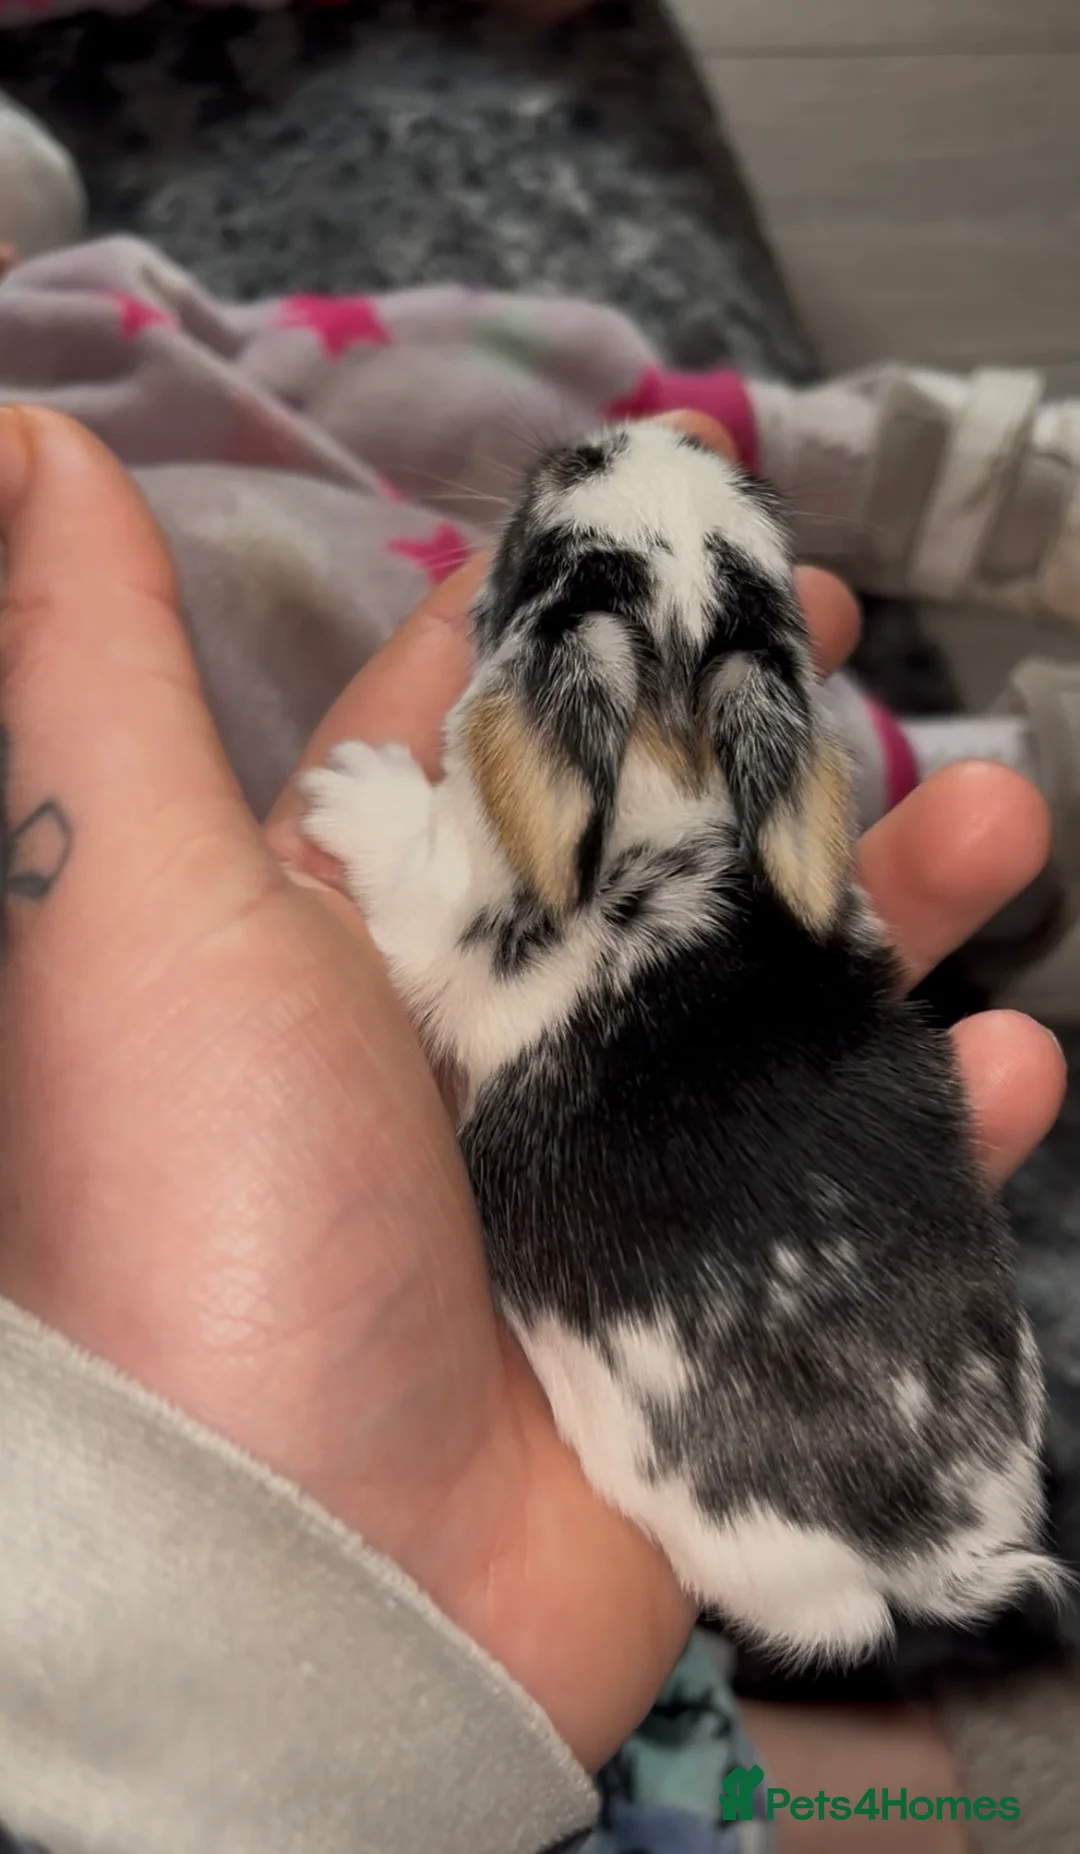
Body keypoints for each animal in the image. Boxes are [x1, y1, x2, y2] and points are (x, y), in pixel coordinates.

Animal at [299, 418, 1063, 1665]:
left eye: (544, 556)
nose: (621, 433)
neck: (674, 755)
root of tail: (947, 1550)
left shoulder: (448, 919)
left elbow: (411, 865)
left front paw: (352, 785)